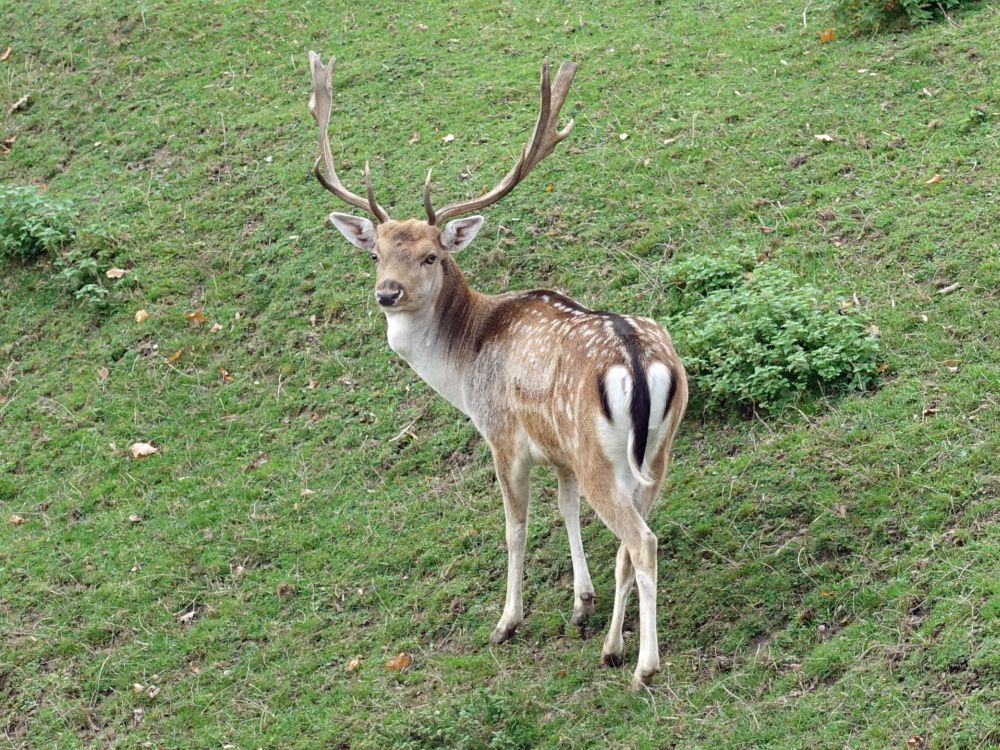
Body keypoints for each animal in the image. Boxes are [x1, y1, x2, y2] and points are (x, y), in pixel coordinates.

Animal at [306, 50, 688, 692]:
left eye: (431, 255)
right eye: (377, 253)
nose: (387, 294)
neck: (465, 362)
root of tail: (641, 361)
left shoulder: (504, 434)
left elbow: (516, 527)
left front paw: (507, 622)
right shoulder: (559, 451)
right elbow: (566, 511)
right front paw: (581, 606)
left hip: (600, 455)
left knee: (642, 542)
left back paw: (644, 667)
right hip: (655, 451)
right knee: (629, 541)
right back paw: (612, 646)